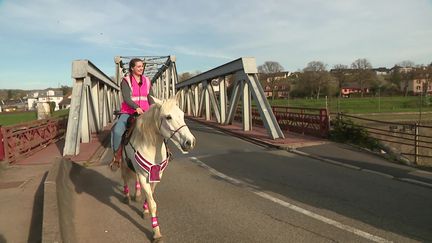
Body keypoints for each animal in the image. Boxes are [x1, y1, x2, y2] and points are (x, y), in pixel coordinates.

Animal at [109, 95, 196, 239]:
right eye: (168, 117)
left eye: (183, 115)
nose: (190, 142)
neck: (150, 144)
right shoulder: (143, 176)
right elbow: (152, 203)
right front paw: (156, 232)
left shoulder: (155, 175)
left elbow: (150, 196)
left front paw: (145, 210)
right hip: (123, 163)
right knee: (125, 177)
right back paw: (127, 196)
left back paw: (137, 194)